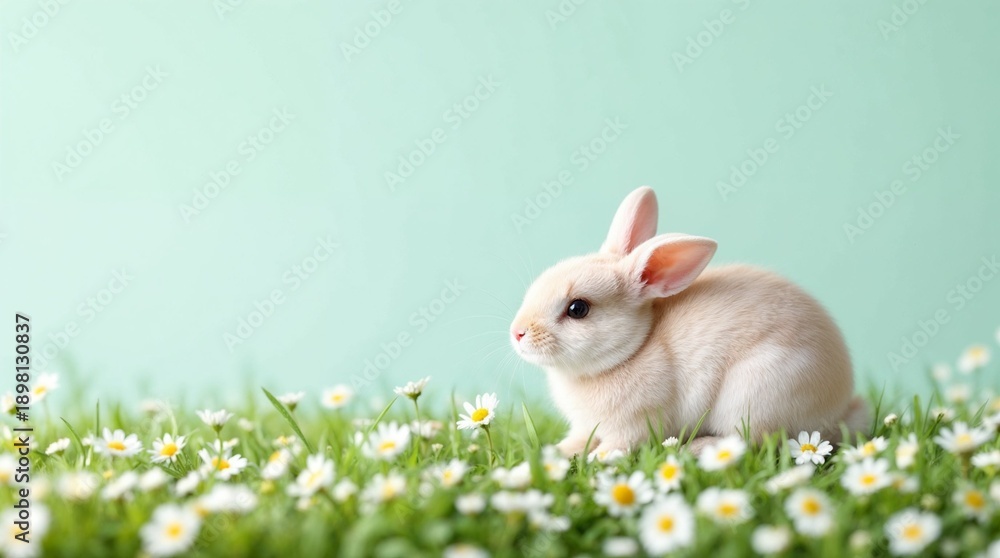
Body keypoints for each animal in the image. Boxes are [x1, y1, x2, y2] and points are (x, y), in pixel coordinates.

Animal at [510, 186, 869, 457]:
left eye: (577, 308)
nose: (517, 333)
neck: (634, 350)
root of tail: (837, 408)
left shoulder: (633, 426)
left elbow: (616, 446)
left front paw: (597, 459)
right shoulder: (586, 426)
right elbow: (578, 439)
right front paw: (556, 452)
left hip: (754, 396)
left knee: (750, 441)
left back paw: (695, 449)